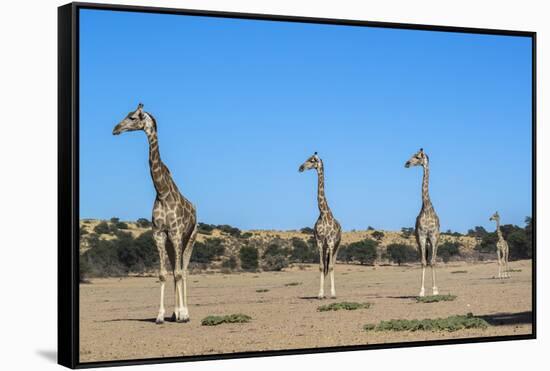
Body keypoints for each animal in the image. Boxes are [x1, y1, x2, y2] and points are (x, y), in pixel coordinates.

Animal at [112, 103, 198, 324]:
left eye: (133, 117)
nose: (116, 129)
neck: (162, 192)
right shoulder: (159, 234)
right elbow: (163, 274)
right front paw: (161, 315)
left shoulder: (175, 233)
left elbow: (178, 273)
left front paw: (183, 314)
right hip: (170, 242)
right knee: (176, 269)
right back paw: (175, 313)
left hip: (189, 237)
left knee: (184, 270)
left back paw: (185, 313)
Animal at [300, 151, 342, 300]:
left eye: (312, 160)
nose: (300, 167)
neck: (323, 213)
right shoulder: (319, 242)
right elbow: (321, 267)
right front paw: (320, 294)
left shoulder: (330, 242)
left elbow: (330, 267)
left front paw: (333, 294)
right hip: (325, 248)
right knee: (326, 266)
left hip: (336, 246)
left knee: (332, 265)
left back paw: (333, 293)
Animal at [406, 150, 444, 298]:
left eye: (417, 157)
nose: (406, 163)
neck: (427, 208)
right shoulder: (421, 236)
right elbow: (423, 262)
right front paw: (421, 291)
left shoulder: (433, 236)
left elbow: (432, 261)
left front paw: (435, 290)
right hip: (422, 240)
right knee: (425, 260)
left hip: (435, 239)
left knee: (432, 260)